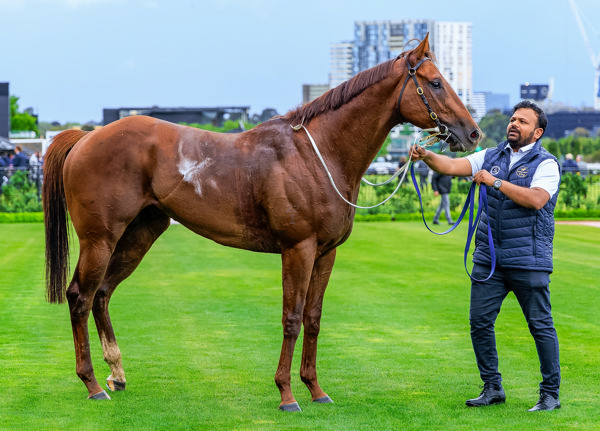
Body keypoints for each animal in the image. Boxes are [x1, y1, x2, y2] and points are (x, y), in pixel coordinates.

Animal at [43, 34, 478, 412]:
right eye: (436, 83)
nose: (471, 133)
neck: (317, 154)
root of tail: (86, 137)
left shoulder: (325, 253)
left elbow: (313, 318)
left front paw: (316, 389)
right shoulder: (298, 249)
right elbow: (292, 318)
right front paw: (287, 394)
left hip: (140, 234)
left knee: (102, 294)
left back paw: (116, 373)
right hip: (100, 238)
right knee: (80, 296)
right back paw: (92, 384)